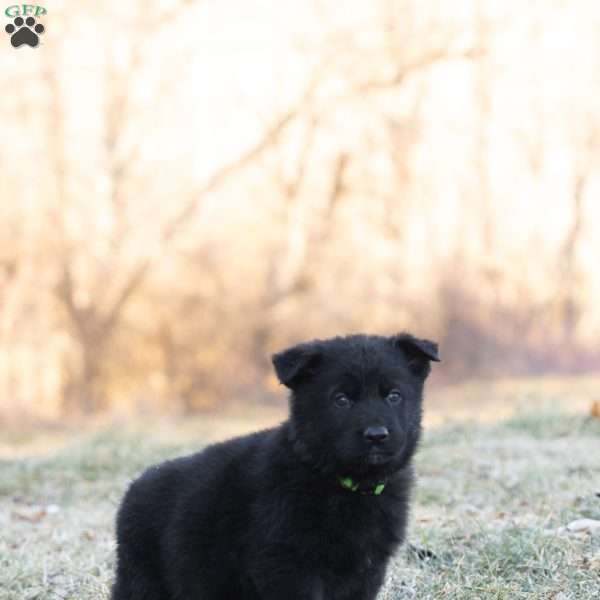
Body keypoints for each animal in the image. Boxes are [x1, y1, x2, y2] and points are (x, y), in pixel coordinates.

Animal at [112, 332, 438, 600]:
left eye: (394, 396)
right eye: (341, 400)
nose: (377, 435)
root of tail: (135, 485)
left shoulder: (367, 572)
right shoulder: (287, 566)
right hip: (144, 581)